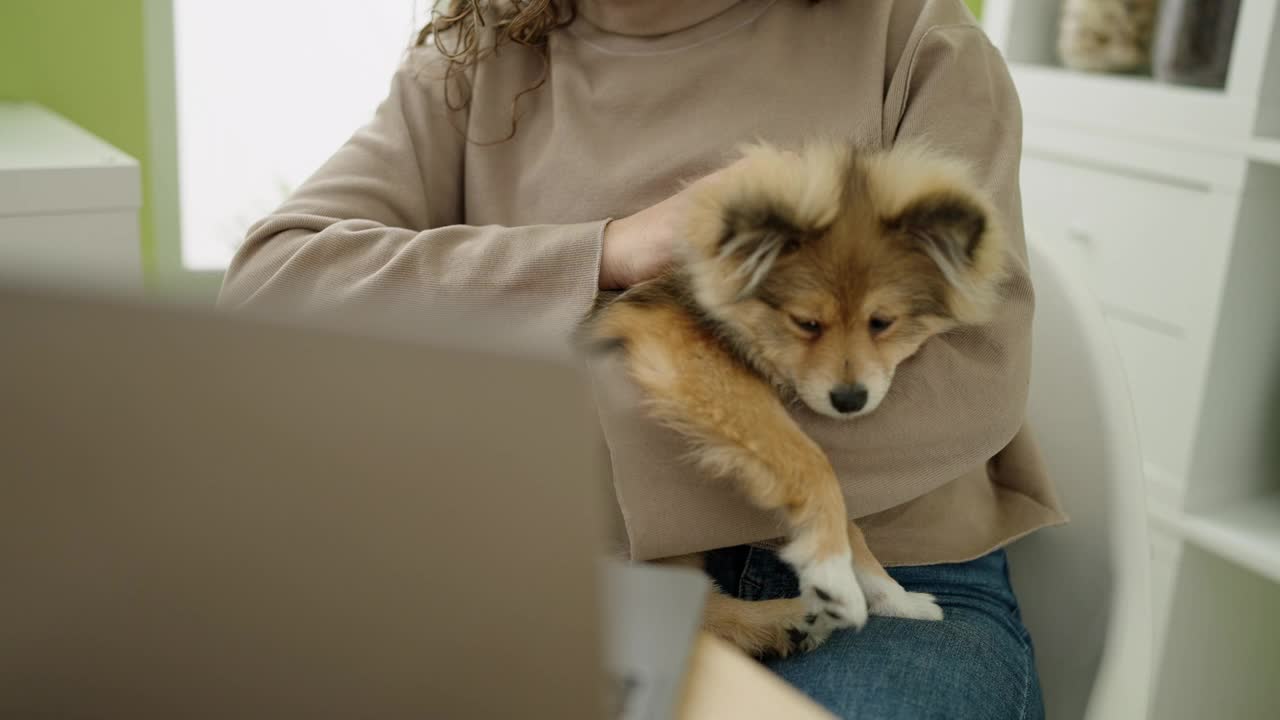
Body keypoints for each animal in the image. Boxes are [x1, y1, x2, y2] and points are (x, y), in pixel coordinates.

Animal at [583, 140, 1008, 655]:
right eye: (806, 323)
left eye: (882, 322)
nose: (850, 399)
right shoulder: (683, 352)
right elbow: (812, 463)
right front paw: (834, 572)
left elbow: (850, 518)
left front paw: (889, 596)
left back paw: (789, 622)